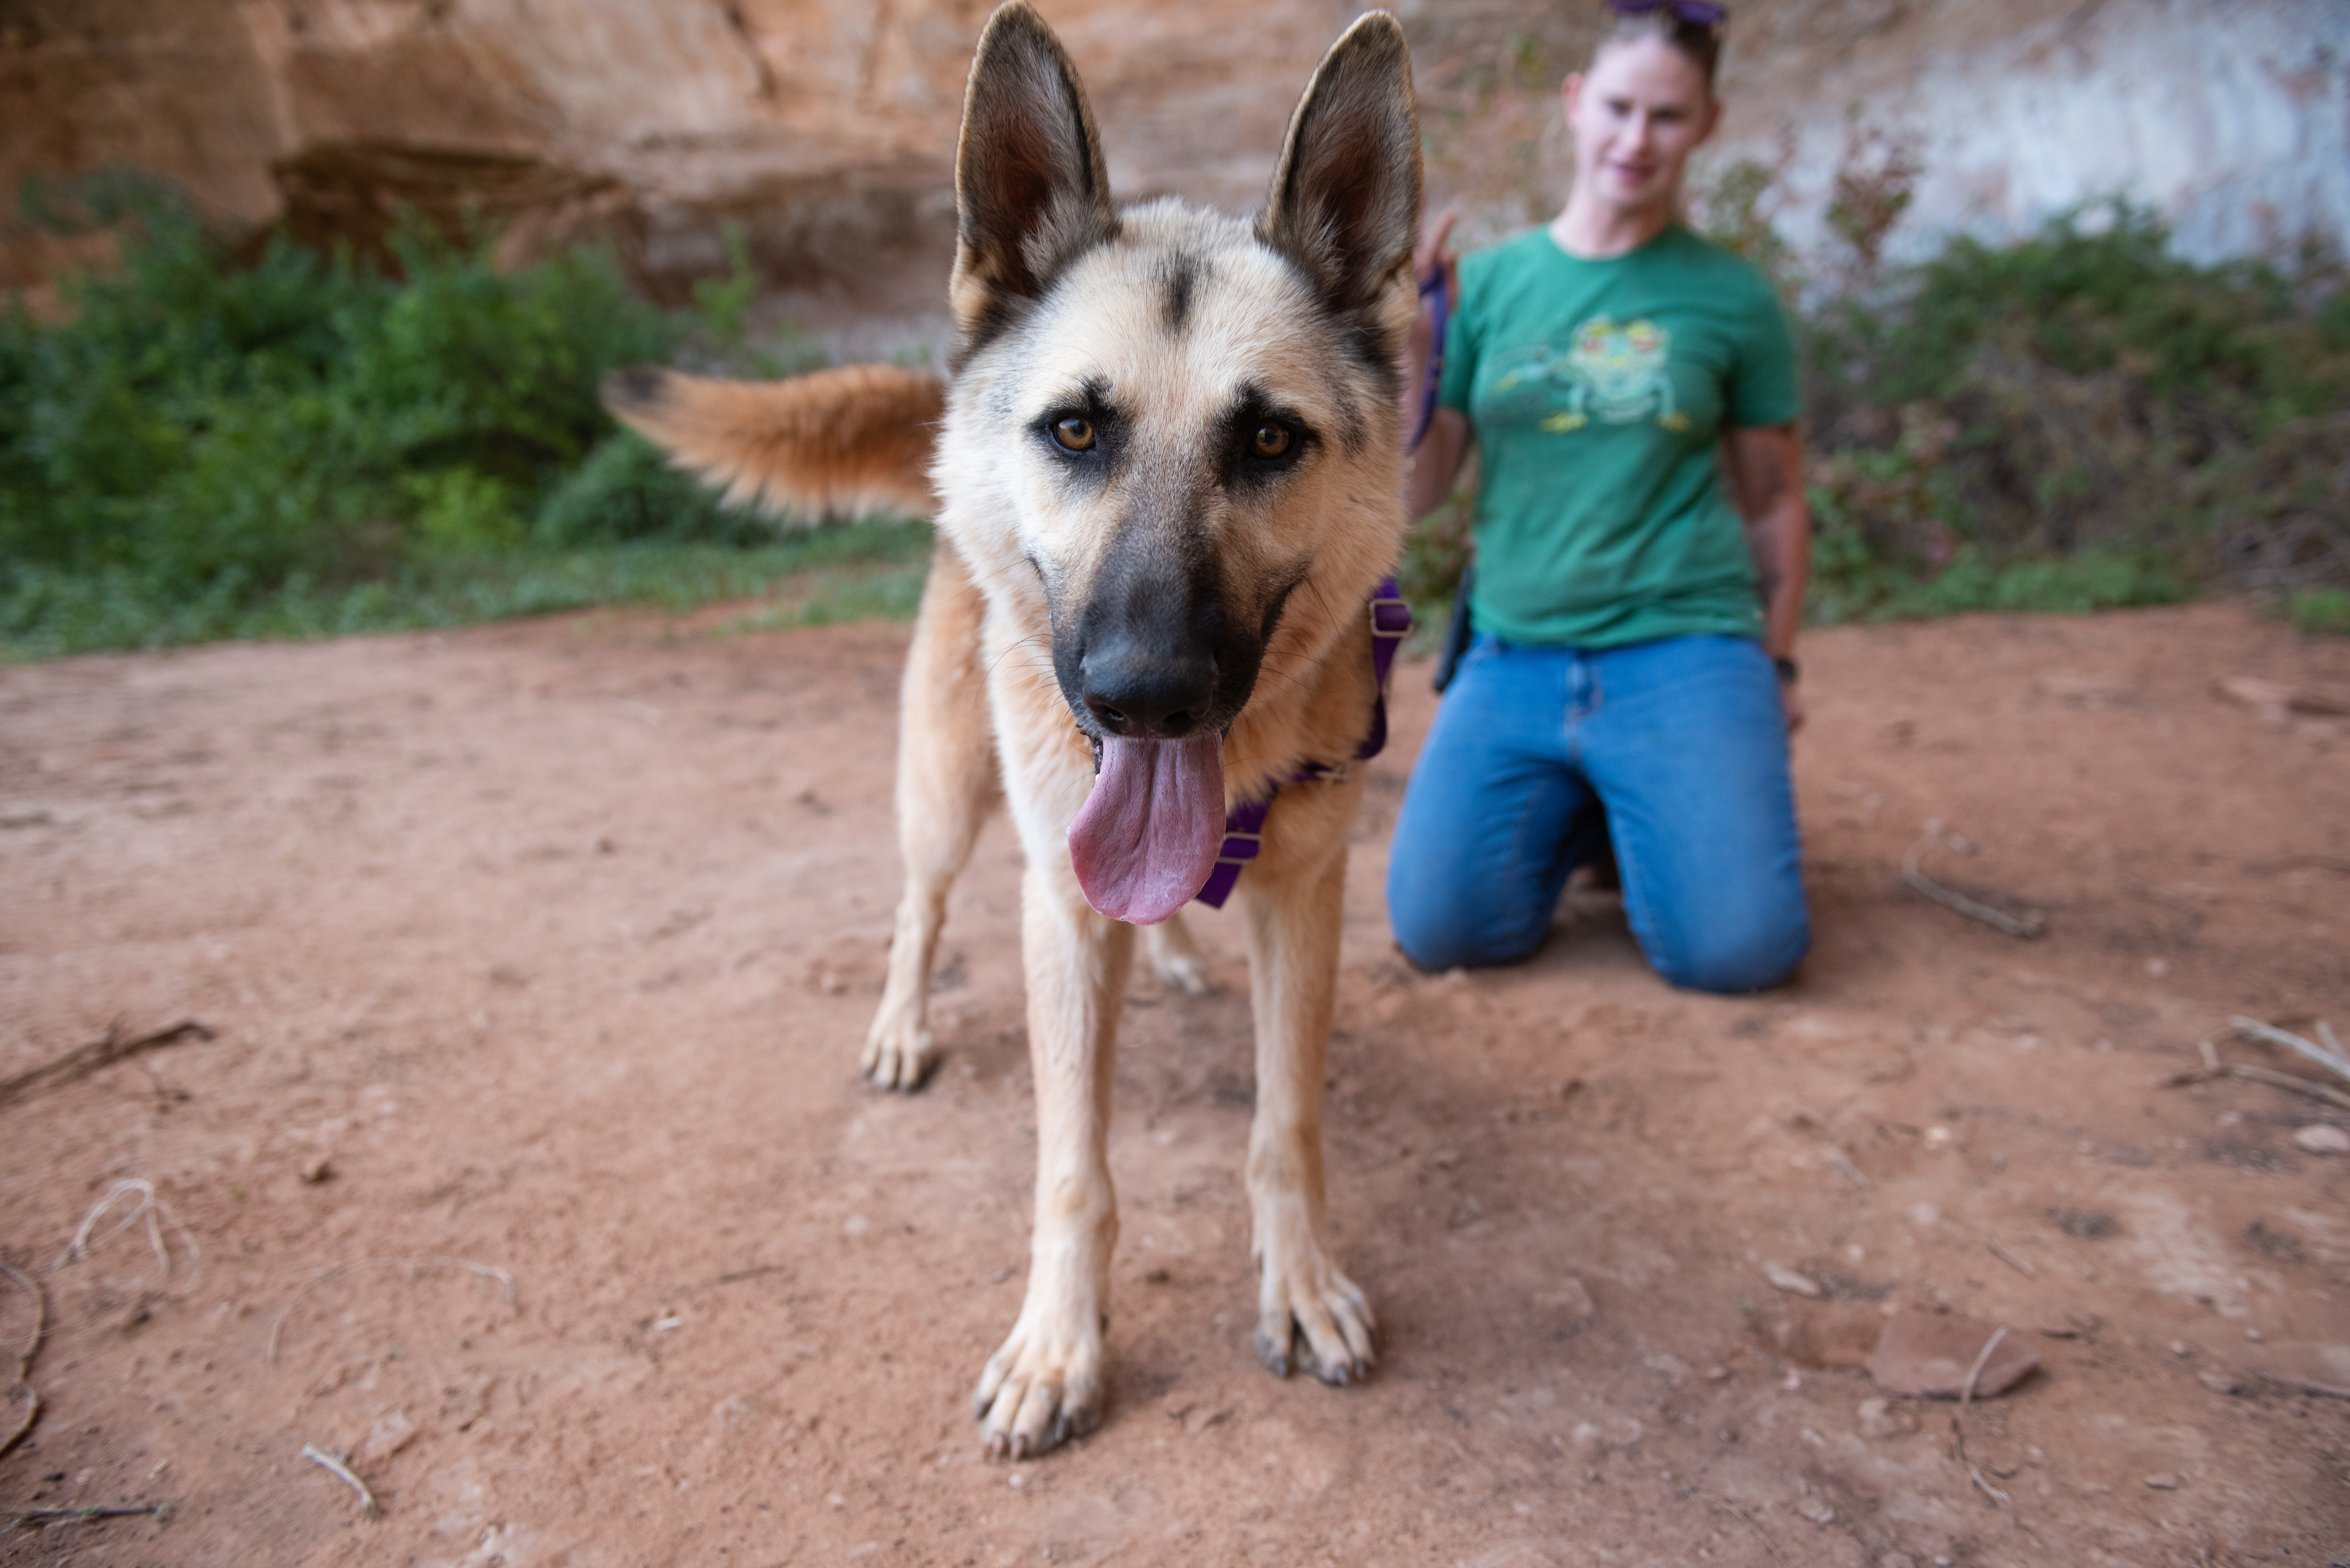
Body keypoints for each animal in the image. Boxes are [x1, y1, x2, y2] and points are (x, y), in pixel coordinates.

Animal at [606, 6, 1410, 1457]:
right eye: (1076, 428)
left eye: (1269, 439)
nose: (1146, 693)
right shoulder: (1061, 907)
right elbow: (1072, 1169)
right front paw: (1058, 1346)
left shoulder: (1304, 903)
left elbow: (1288, 1124)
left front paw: (1302, 1284)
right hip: (947, 797)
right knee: (919, 909)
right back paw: (903, 1025)